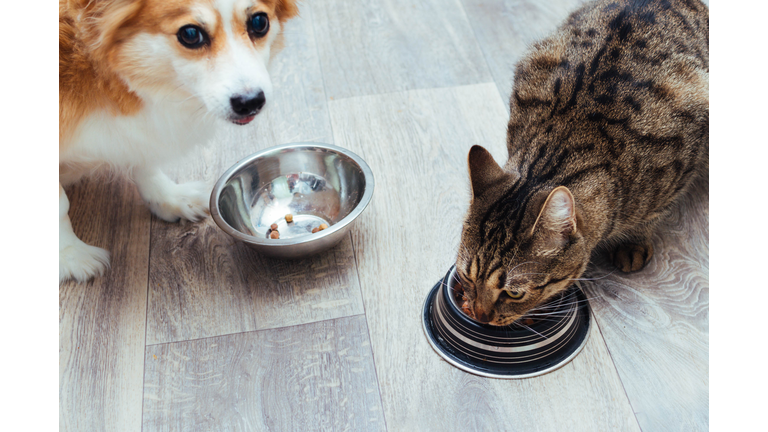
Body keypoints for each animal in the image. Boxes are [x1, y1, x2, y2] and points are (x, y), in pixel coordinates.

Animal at [58, 0, 298, 284]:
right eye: (191, 34)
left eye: (260, 23)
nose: (251, 102)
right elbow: (60, 204)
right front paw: (70, 254)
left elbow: (145, 160)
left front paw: (169, 197)